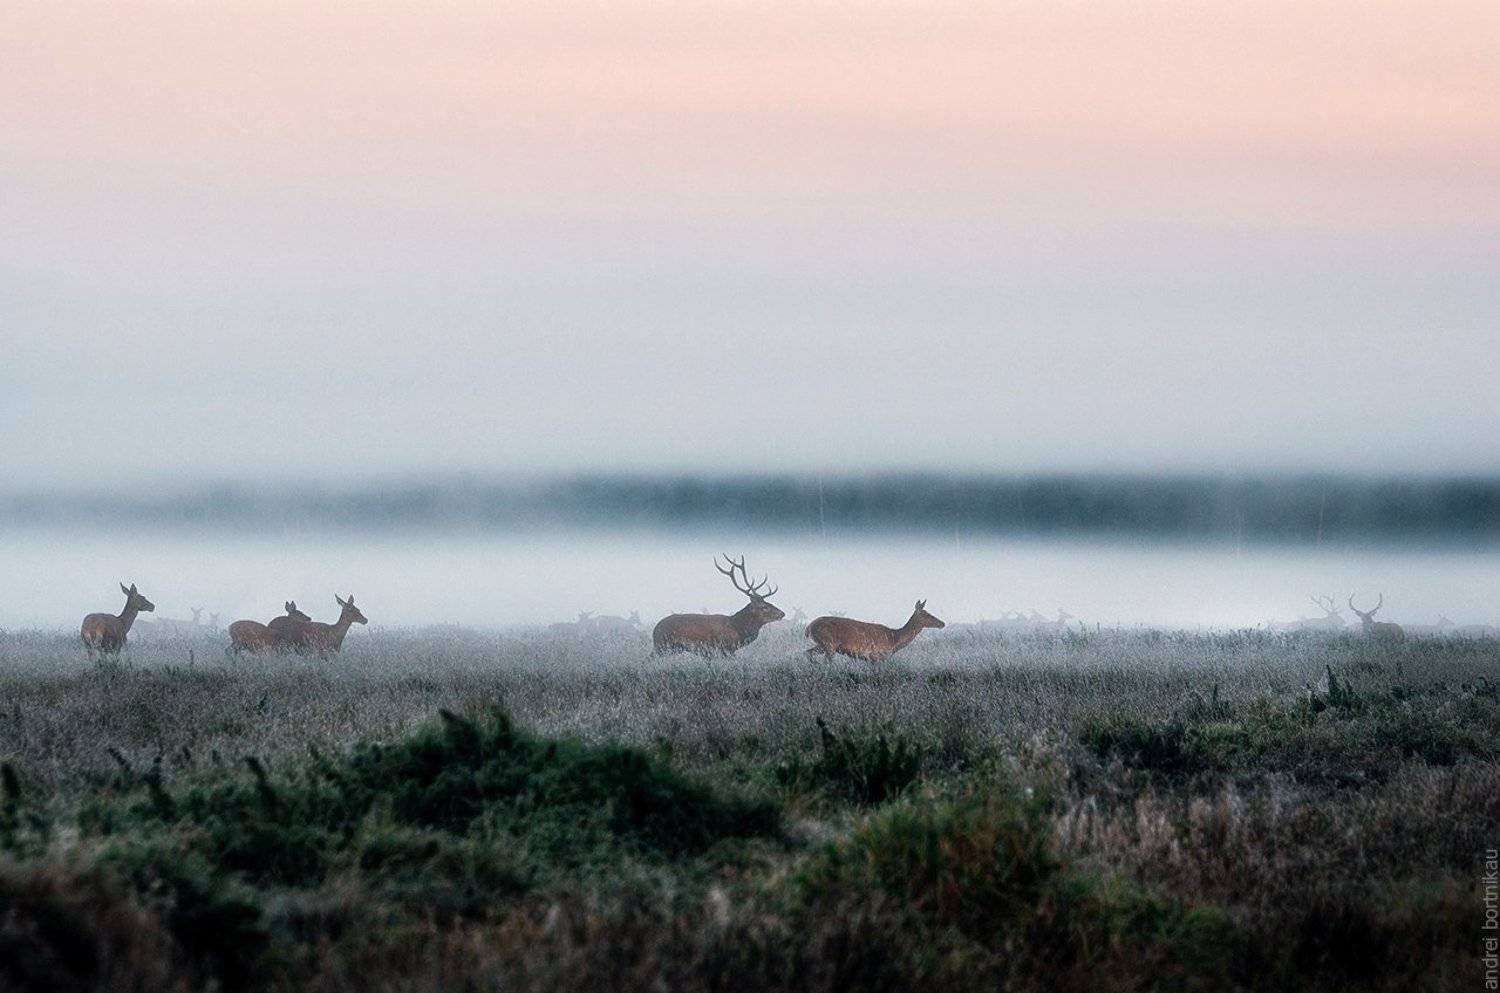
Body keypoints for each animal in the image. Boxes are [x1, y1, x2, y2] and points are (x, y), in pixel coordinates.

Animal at [652, 555, 785, 655]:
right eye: (764, 607)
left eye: (769, 603)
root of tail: (654, 630)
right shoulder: (723, 649)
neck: (738, 628)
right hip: (662, 646)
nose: (782, 613)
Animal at [805, 600, 946, 662]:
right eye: (927, 614)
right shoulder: (878, 655)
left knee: (807, 652)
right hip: (829, 643)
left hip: (822, 644)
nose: (942, 623)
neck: (894, 639)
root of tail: (809, 627)